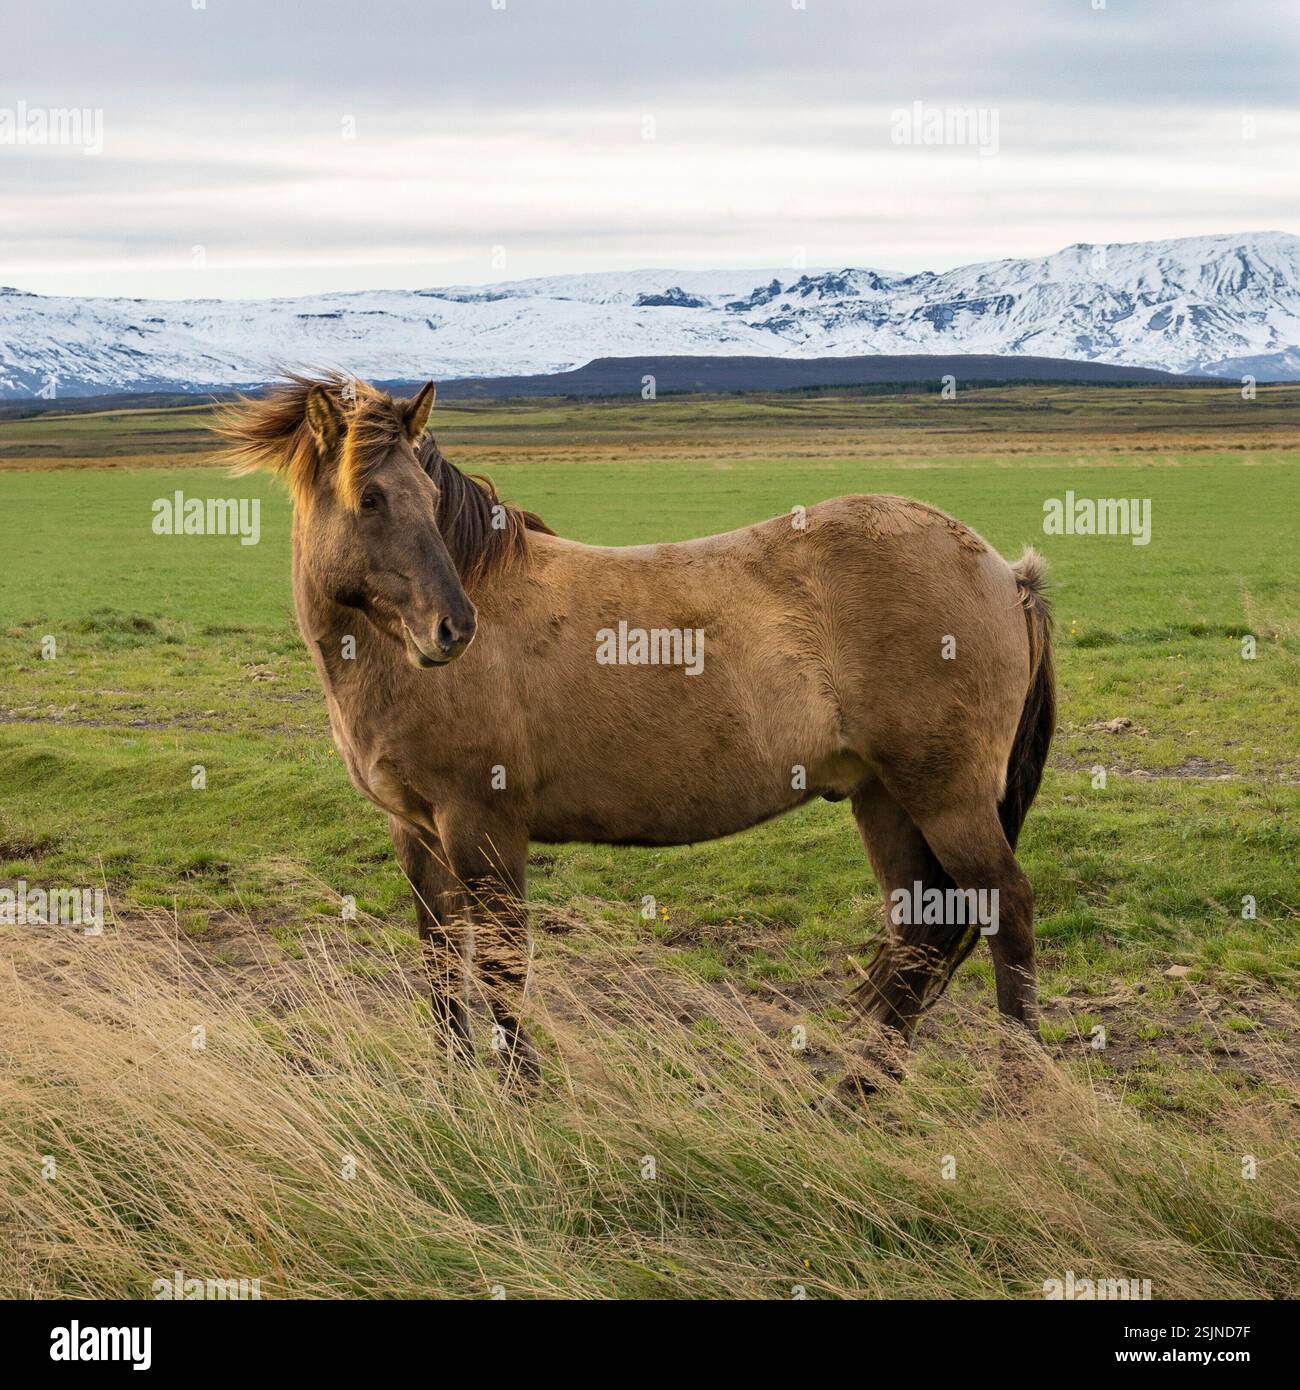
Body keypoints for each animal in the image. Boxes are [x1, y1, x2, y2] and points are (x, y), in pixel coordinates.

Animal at [216, 373, 1055, 1091]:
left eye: (425, 494)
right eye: (369, 499)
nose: (451, 629)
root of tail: (1004, 573)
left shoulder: (481, 823)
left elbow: (501, 965)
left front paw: (525, 1101)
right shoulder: (416, 830)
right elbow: (441, 960)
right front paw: (451, 1091)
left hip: (946, 798)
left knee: (1006, 910)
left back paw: (1015, 1099)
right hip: (885, 798)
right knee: (917, 934)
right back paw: (853, 1097)